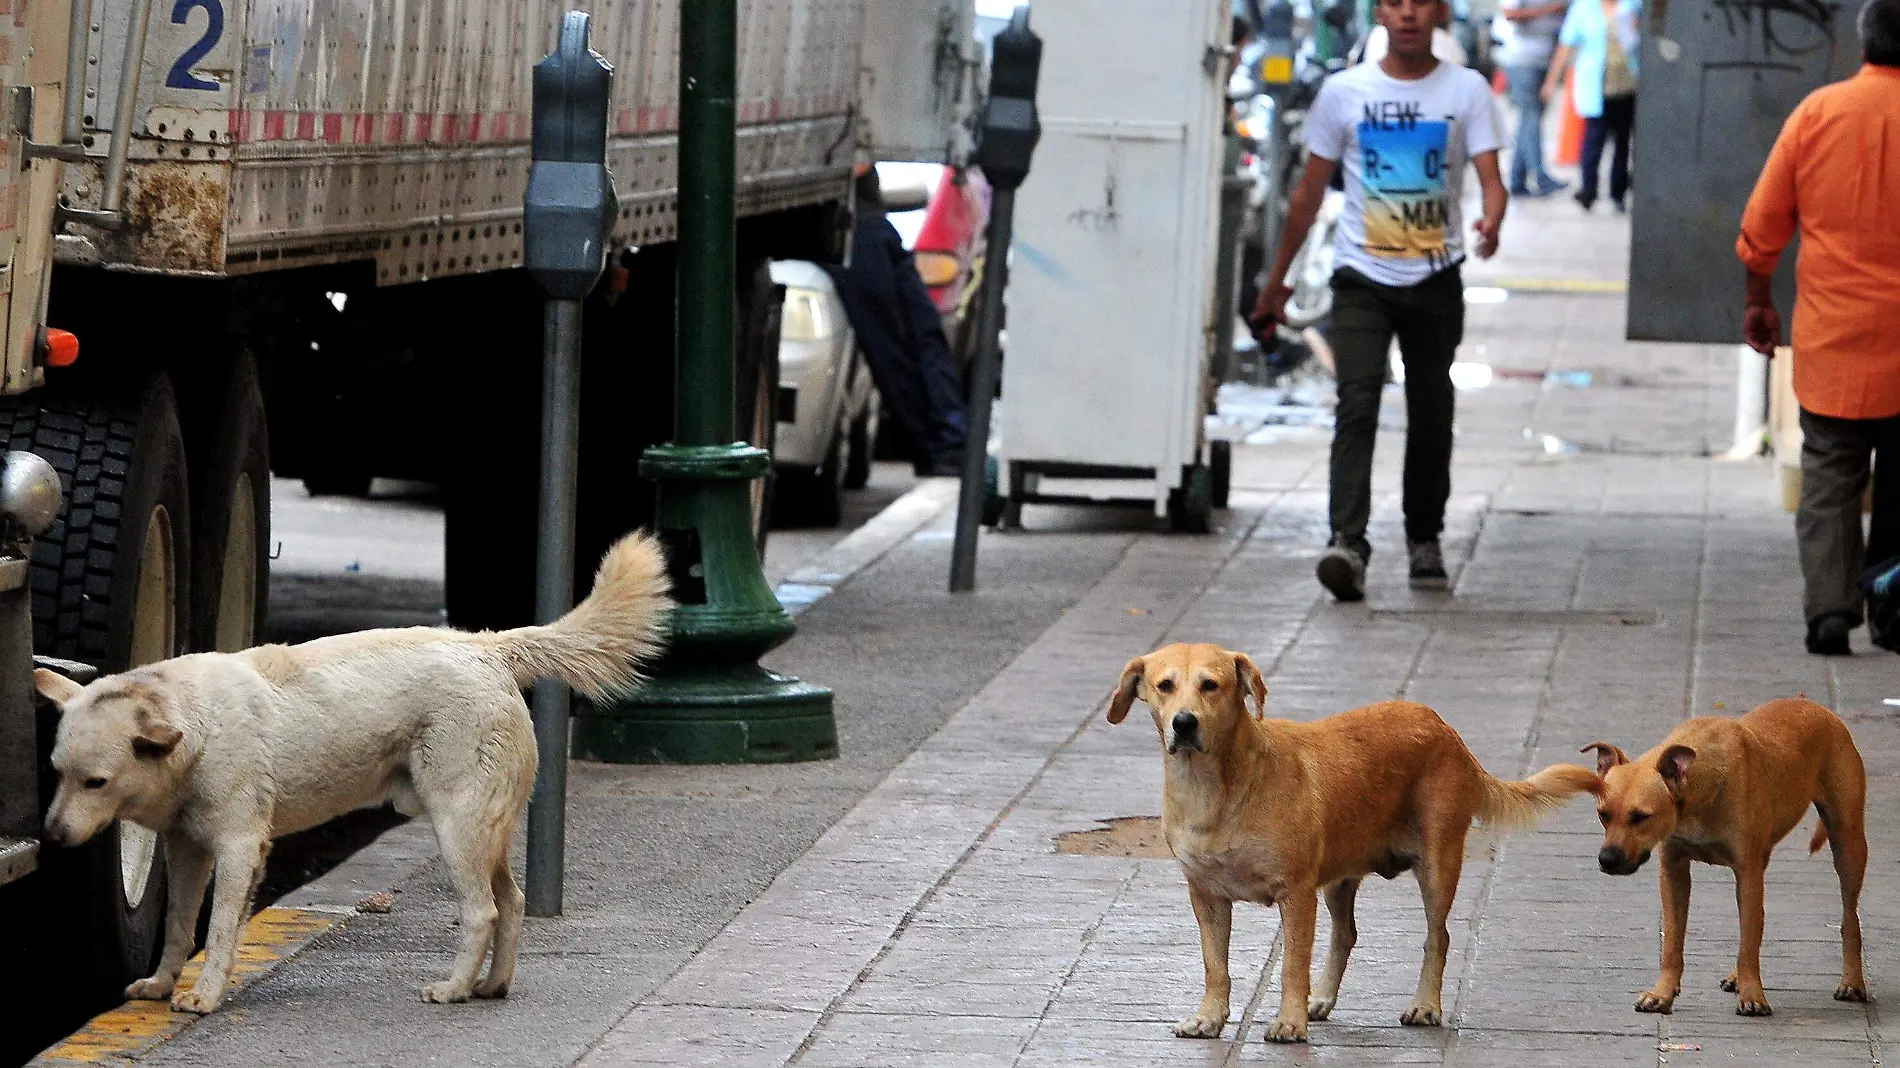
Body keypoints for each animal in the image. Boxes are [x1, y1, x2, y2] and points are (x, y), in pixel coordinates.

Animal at [1109, 638, 1603, 1041]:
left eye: (1210, 685)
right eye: (1165, 685)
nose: (1184, 723)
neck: (1215, 791)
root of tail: (1447, 729)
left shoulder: (1296, 893)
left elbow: (1292, 966)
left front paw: (1289, 1023)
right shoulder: (1206, 896)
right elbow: (1216, 967)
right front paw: (1209, 1018)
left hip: (1438, 864)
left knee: (1437, 937)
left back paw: (1425, 1006)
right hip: (1339, 879)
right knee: (1346, 934)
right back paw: (1323, 1000)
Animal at [1580, 695, 1862, 1010]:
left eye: (1641, 817)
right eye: (1603, 814)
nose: (1607, 860)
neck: (1697, 791)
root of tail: (1815, 705)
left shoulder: (1747, 871)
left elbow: (1747, 944)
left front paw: (1752, 996)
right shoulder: (1674, 869)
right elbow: (1673, 942)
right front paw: (1662, 993)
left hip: (1848, 844)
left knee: (1849, 917)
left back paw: (1852, 982)